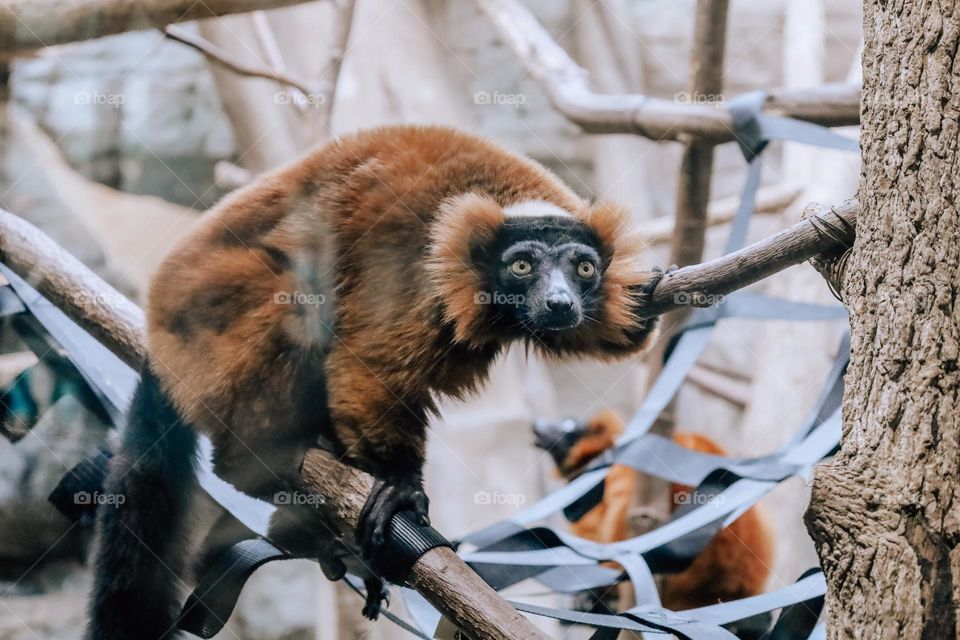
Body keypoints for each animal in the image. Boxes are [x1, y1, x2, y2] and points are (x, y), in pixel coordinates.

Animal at [86, 125, 661, 640]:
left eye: (584, 269)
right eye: (522, 266)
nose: (559, 304)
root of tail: (159, 325)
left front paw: (646, 299)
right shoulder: (416, 270)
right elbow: (373, 362)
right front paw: (402, 489)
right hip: (204, 317)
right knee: (295, 302)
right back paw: (262, 462)